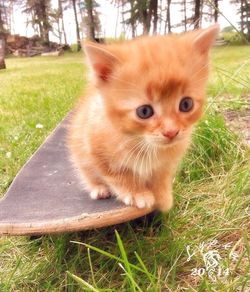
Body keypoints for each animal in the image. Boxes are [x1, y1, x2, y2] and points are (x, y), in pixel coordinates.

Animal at [68, 25, 219, 211]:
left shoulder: (167, 161)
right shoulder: (95, 149)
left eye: (186, 104)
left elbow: (161, 175)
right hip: (80, 151)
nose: (171, 132)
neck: (143, 143)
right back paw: (98, 188)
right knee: (87, 173)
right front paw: (137, 193)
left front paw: (162, 195)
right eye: (144, 111)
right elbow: (118, 175)